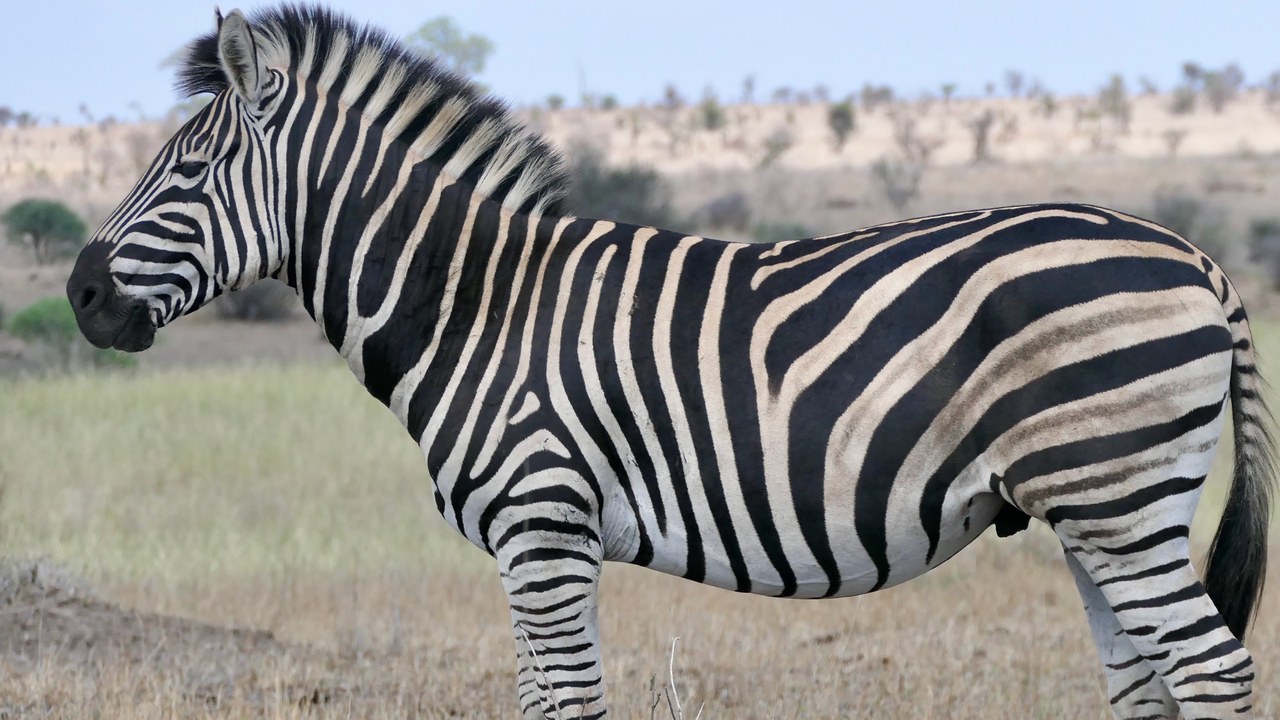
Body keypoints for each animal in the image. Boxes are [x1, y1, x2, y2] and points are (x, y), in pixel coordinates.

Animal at [65, 6, 1273, 719]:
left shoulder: (542, 531)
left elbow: (566, 707)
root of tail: (1197, 256)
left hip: (1116, 492)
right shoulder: (537, 546)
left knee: (1210, 670)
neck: (477, 303)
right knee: (1148, 682)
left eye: (185, 169)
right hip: (1094, 510)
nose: (80, 296)